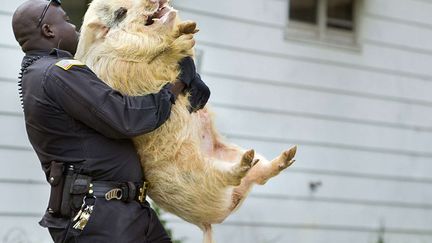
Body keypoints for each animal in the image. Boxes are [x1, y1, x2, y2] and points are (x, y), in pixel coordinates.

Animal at [75, 0, 296, 242]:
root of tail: (212, 218)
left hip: (233, 153)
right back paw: (248, 162)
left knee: (261, 173)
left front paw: (190, 27)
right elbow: (157, 60)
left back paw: (286, 155)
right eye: (121, 12)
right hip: (200, 174)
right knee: (230, 177)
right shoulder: (126, 72)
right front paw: (180, 37)